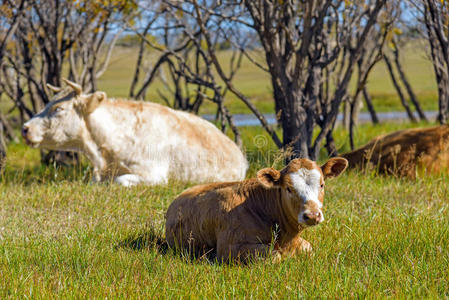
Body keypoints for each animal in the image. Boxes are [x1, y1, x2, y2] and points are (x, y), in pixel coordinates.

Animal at [164, 157, 346, 262]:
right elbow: (274, 256)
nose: (312, 215)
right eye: (288, 188)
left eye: (322, 184)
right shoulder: (229, 248)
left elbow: (308, 248)